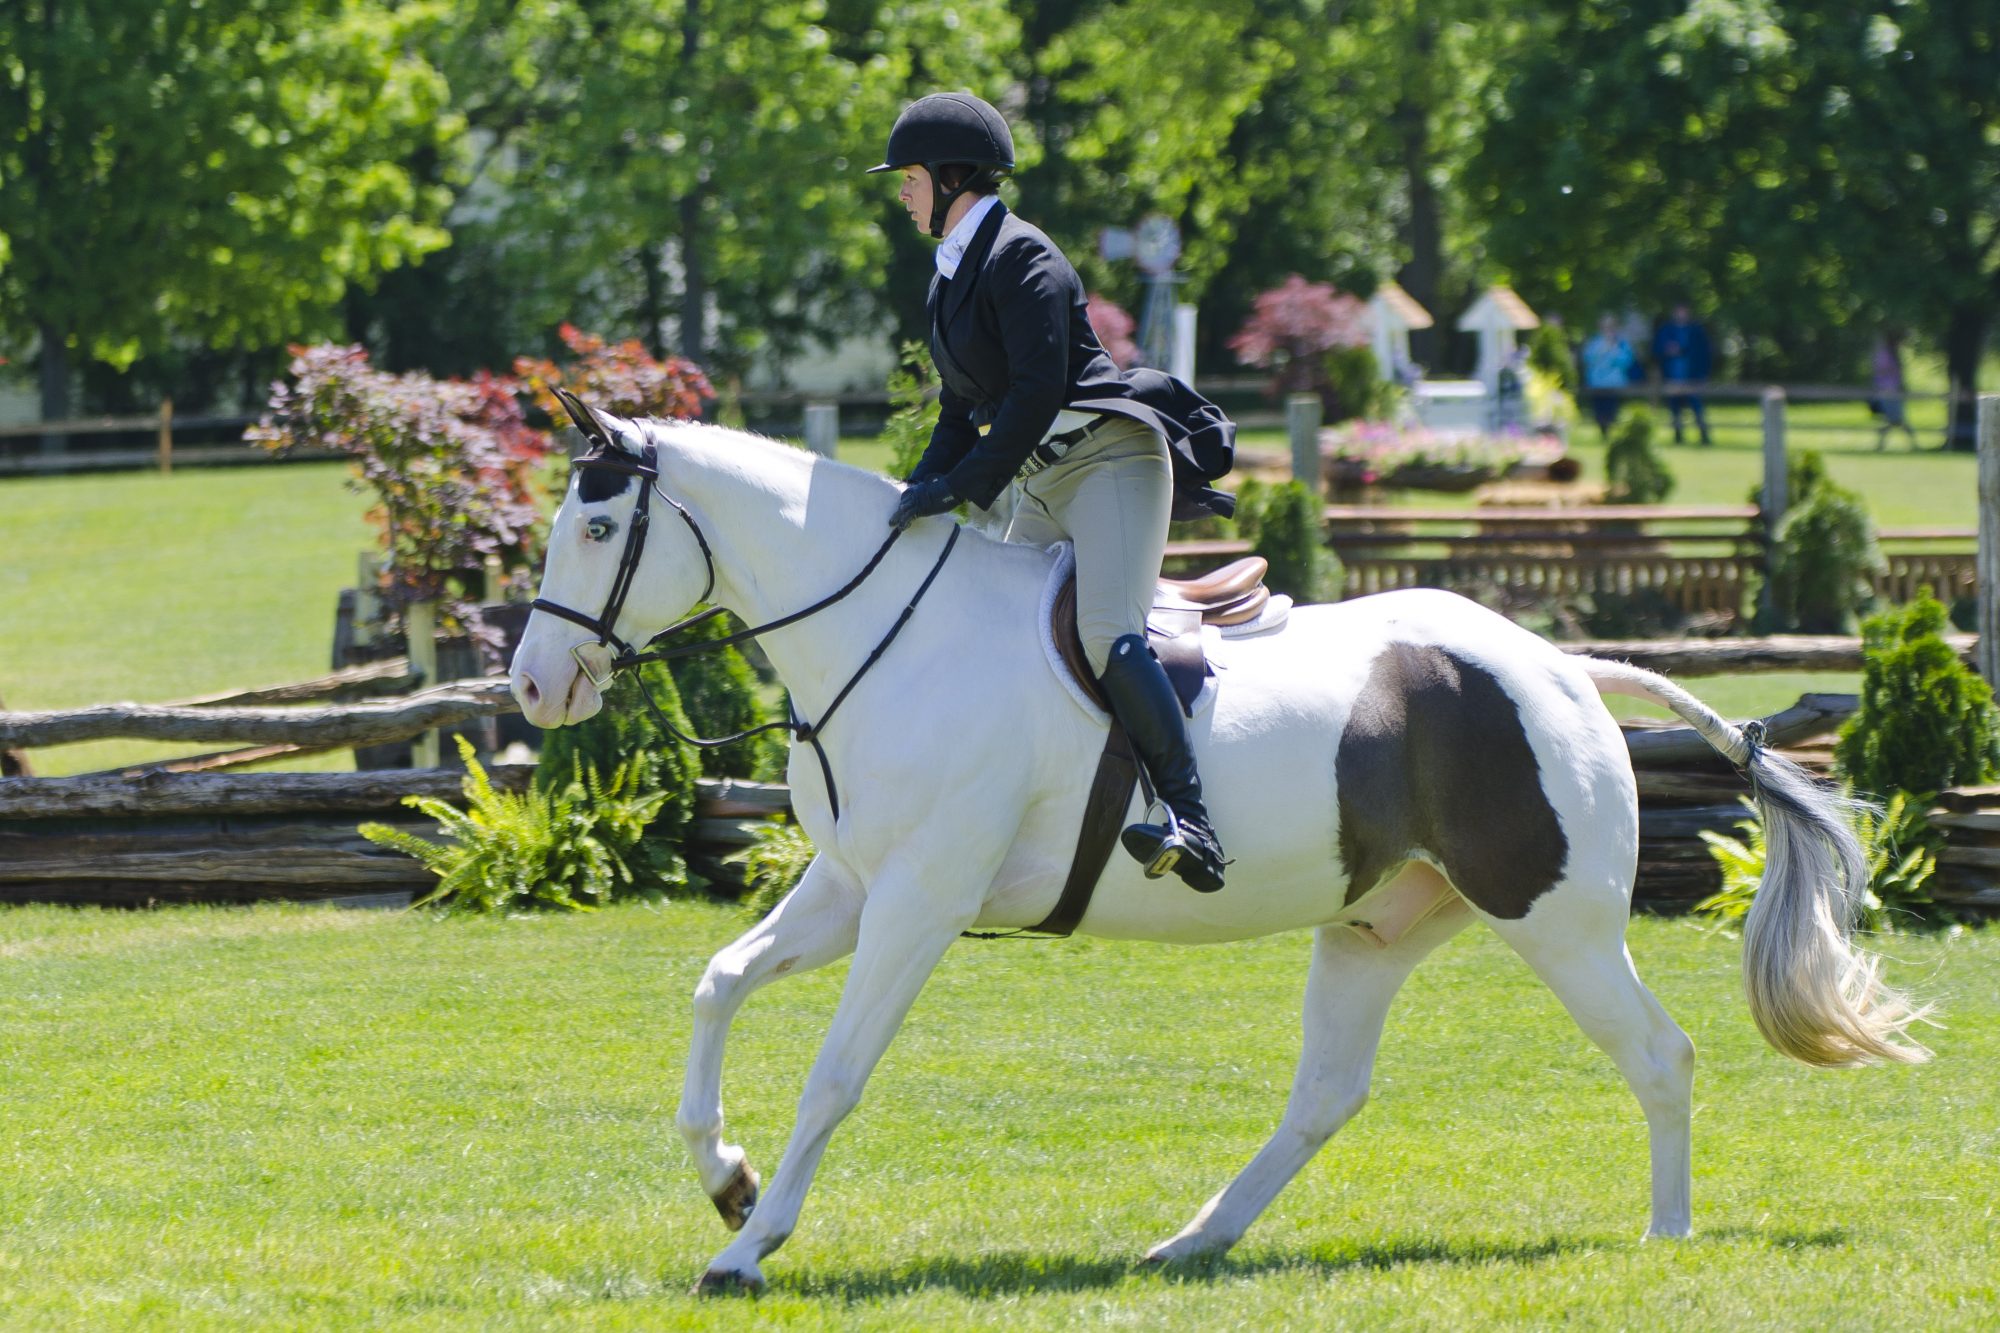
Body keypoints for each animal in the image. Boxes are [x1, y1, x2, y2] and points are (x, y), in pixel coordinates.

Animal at [507, 403, 1928, 1295]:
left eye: (596, 529)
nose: (530, 687)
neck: (883, 632)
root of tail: (1562, 664)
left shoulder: (917, 901)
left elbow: (833, 1075)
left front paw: (747, 1246)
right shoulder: (853, 887)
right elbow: (718, 985)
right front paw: (726, 1179)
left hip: (1556, 919)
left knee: (1657, 1054)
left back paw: (1665, 1236)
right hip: (1374, 927)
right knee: (1325, 1094)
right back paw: (1191, 1242)